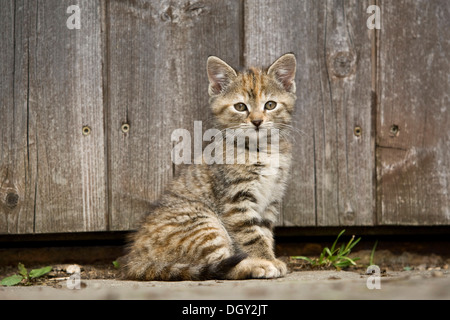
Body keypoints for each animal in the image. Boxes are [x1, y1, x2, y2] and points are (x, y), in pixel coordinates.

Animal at [120, 53, 296, 282]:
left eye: (270, 104)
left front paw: (270, 258)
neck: (263, 149)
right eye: (240, 107)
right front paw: (264, 260)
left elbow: (264, 232)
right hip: (203, 222)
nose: (257, 121)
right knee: (222, 266)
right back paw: (253, 266)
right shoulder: (235, 201)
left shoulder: (270, 199)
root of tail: (135, 259)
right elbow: (251, 235)